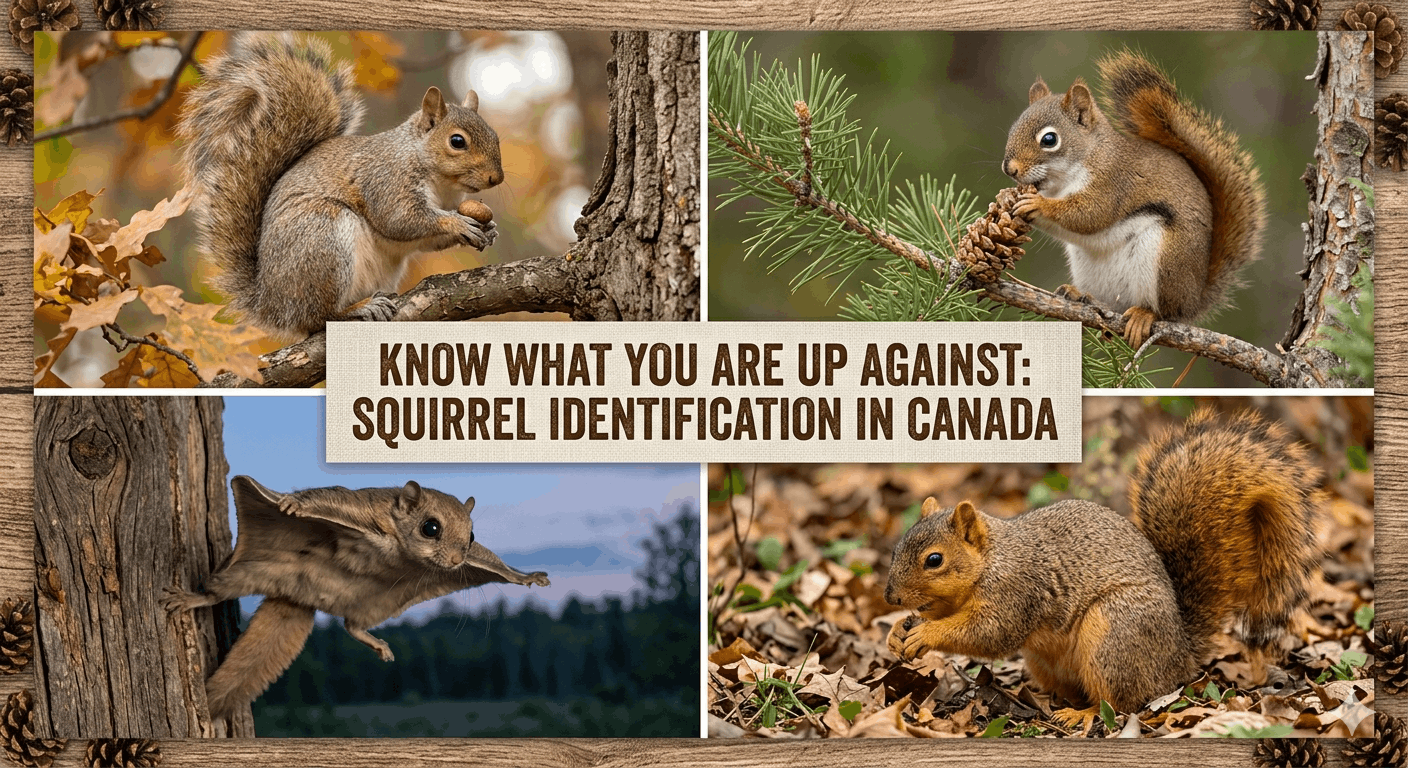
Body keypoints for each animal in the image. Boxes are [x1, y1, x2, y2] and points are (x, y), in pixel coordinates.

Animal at [160, 476, 549, 720]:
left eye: (472, 536)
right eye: (431, 528)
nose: (456, 561)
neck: (399, 546)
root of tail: (302, 597)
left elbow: (495, 563)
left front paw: (526, 576)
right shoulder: (360, 507)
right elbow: (328, 495)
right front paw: (291, 503)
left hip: (372, 603)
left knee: (352, 626)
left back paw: (376, 643)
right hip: (249, 571)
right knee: (216, 592)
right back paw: (190, 599)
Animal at [177, 33, 505, 339]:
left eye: (495, 136)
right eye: (457, 141)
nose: (496, 179)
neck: (441, 182)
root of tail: (271, 304)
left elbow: (426, 240)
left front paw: (488, 229)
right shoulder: (386, 179)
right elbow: (400, 219)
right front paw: (457, 223)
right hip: (322, 236)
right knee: (318, 318)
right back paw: (357, 308)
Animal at [884, 408, 1322, 725]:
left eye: (934, 560)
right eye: (897, 547)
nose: (890, 596)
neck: (992, 559)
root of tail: (1178, 656)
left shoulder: (1016, 590)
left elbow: (988, 633)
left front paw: (926, 634)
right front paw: (897, 632)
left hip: (1113, 633)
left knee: (1121, 703)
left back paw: (1081, 714)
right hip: (1047, 659)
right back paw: (1044, 698)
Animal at [1002, 50, 1267, 348]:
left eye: (1049, 139)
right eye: (1013, 128)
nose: (1009, 169)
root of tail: (1194, 299)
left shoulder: (1113, 183)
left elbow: (1089, 215)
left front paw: (1038, 205)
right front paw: (1005, 198)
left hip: (1166, 261)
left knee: (1164, 312)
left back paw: (1144, 315)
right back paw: (1080, 296)